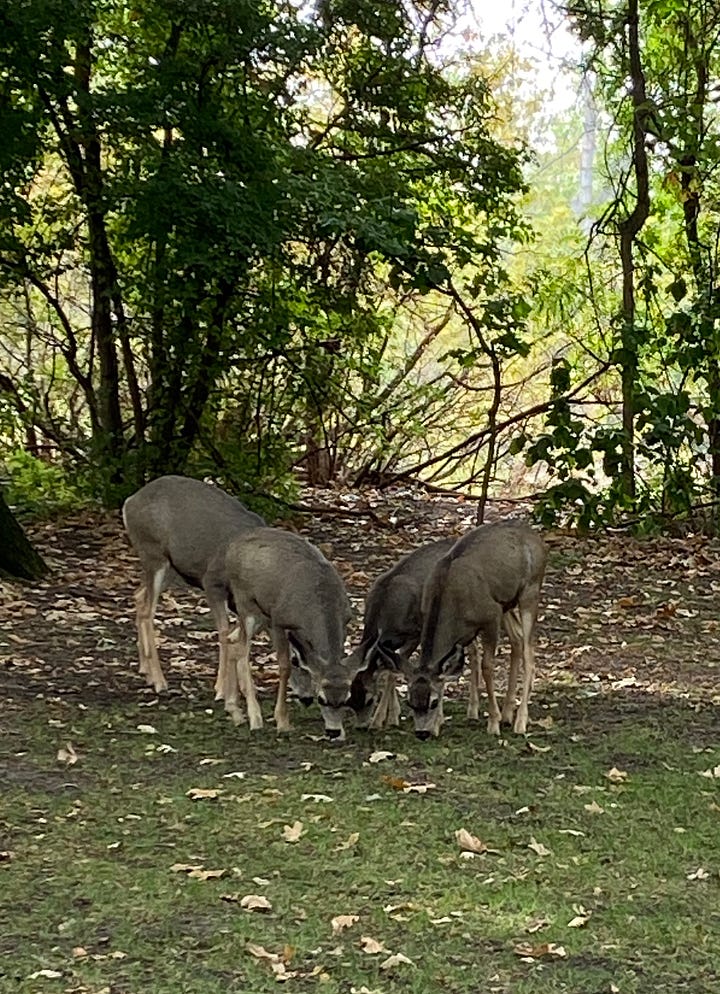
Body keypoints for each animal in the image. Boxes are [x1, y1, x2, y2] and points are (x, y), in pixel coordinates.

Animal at [121, 474, 268, 700]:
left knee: (138, 596)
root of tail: (129, 501)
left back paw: (145, 670)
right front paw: (221, 689)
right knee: (147, 612)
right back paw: (159, 682)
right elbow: (225, 631)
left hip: (170, 567)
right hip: (153, 554)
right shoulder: (212, 582)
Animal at [218, 528, 356, 736]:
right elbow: (284, 666)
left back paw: (234, 709)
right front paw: (282, 721)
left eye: (347, 699)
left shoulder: (342, 622)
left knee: (233, 642)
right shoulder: (279, 622)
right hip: (246, 605)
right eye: (322, 698)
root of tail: (232, 545)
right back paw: (254, 718)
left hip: (262, 615)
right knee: (242, 652)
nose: (333, 732)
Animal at [344, 540, 456, 724]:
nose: (361, 726)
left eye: (370, 699)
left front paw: (383, 719)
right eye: (350, 701)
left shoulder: (415, 632)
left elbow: (392, 671)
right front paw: (393, 714)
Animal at [408, 520, 548, 736]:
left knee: (529, 653)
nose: (422, 733)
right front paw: (440, 723)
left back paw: (520, 722)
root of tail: (538, 540)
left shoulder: (490, 616)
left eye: (432, 702)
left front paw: (493, 722)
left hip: (530, 592)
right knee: (516, 639)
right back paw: (508, 714)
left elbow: (487, 666)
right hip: (506, 603)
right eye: (410, 703)